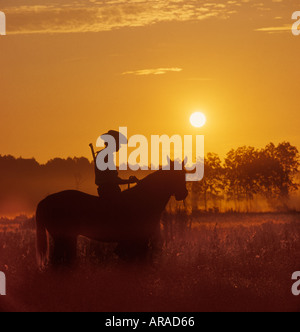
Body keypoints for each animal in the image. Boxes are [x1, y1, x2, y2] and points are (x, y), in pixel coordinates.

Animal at [35, 165, 188, 268]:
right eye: (177, 175)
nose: (184, 194)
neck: (142, 199)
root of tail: (45, 200)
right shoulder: (139, 240)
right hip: (63, 238)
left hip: (68, 238)